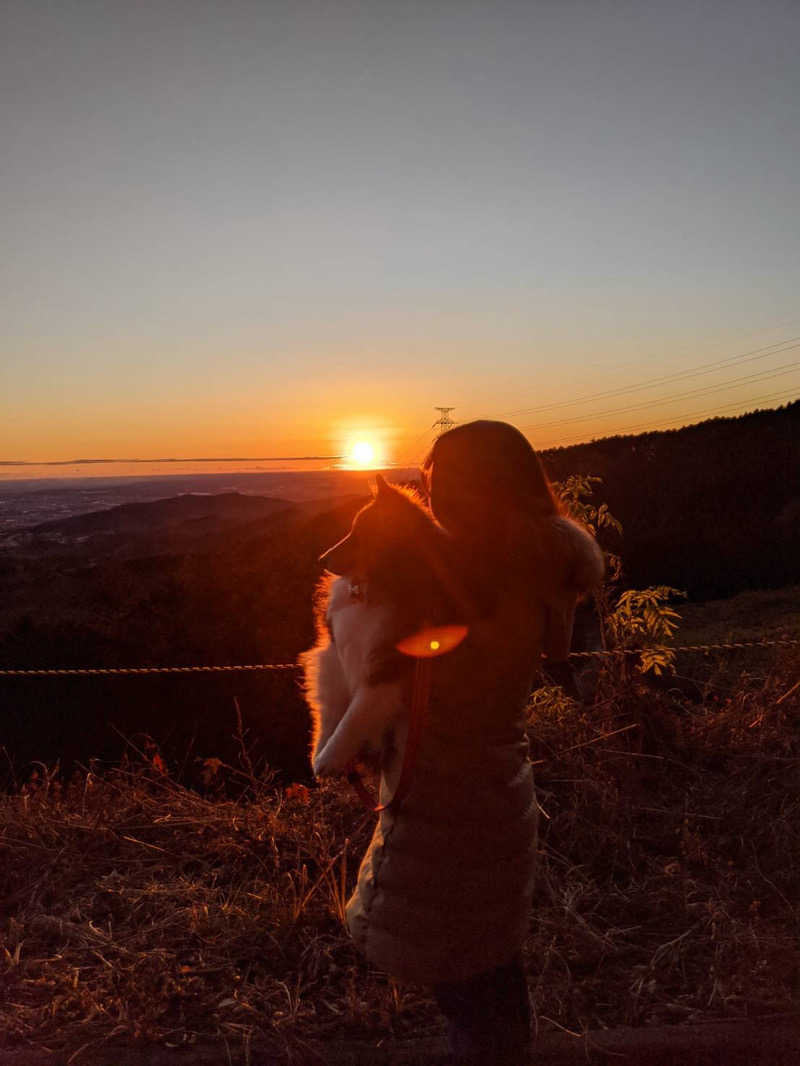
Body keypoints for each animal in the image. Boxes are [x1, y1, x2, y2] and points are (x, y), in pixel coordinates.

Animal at [298, 479, 467, 780]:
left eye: (359, 533)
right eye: (351, 528)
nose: (321, 559)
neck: (374, 588)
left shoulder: (386, 668)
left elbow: (354, 717)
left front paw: (331, 758)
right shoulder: (335, 650)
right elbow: (332, 710)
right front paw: (321, 751)